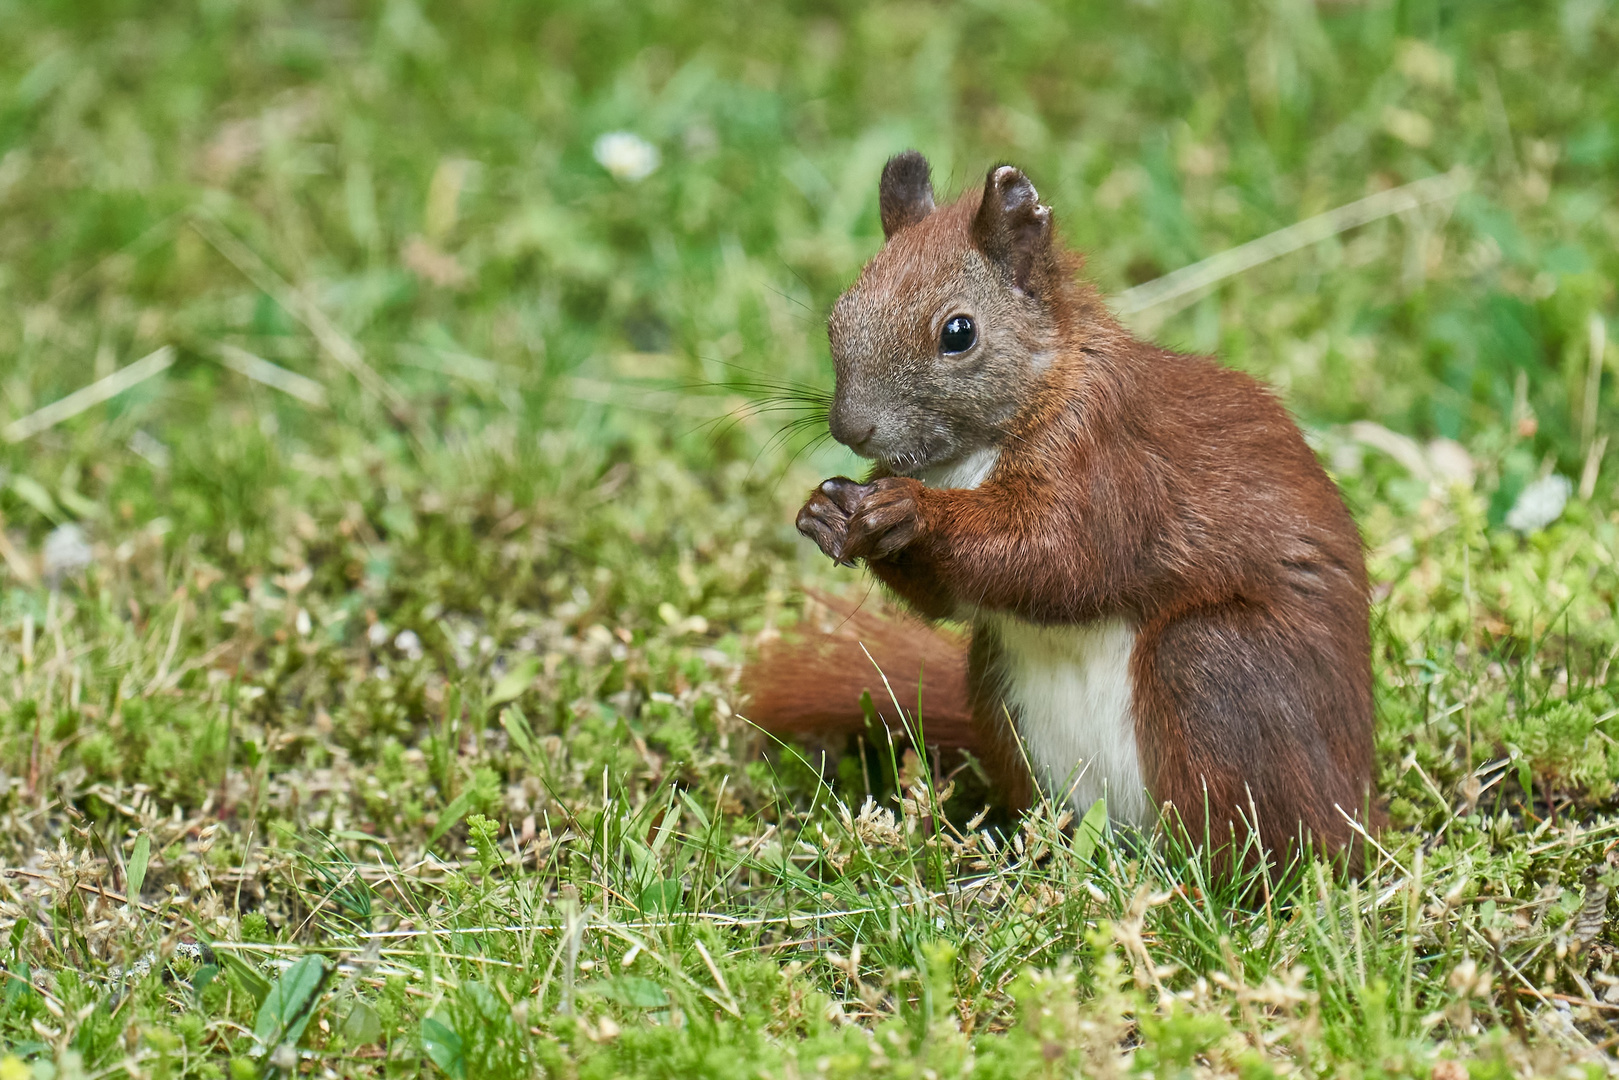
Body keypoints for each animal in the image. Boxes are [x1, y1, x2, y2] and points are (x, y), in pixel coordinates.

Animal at [744, 152, 1379, 867]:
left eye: (958, 333)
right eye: (837, 317)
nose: (850, 428)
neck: (975, 451)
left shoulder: (1108, 458)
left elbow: (1062, 558)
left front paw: (915, 512)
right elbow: (953, 599)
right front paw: (824, 515)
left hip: (1223, 673)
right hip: (1002, 699)